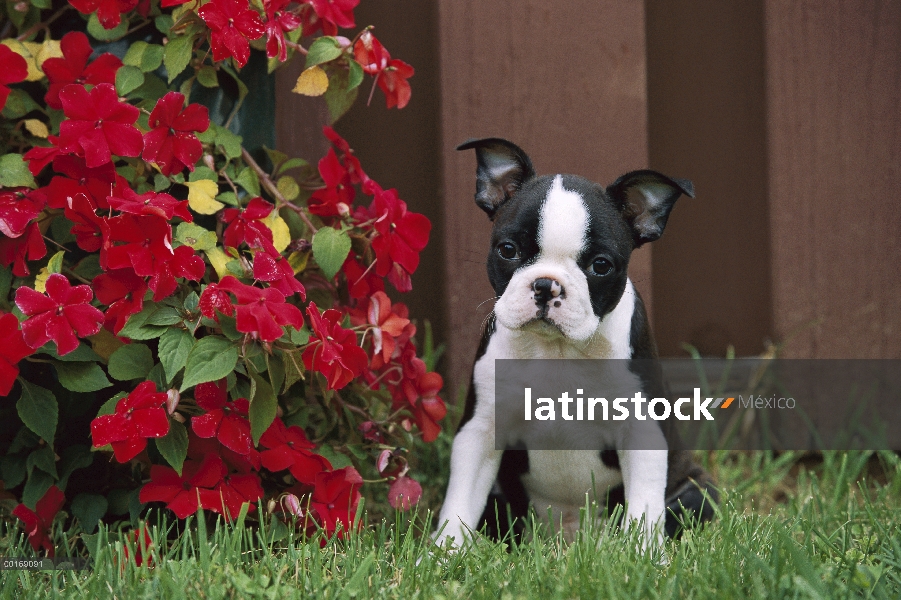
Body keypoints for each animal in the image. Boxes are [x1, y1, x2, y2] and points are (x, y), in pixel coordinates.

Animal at [436, 138, 716, 552]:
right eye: (507, 250)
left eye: (601, 265)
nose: (546, 285)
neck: (558, 351)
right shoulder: (481, 430)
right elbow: (459, 505)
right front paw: (442, 554)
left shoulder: (642, 432)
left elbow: (645, 509)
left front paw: (645, 557)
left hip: (695, 492)